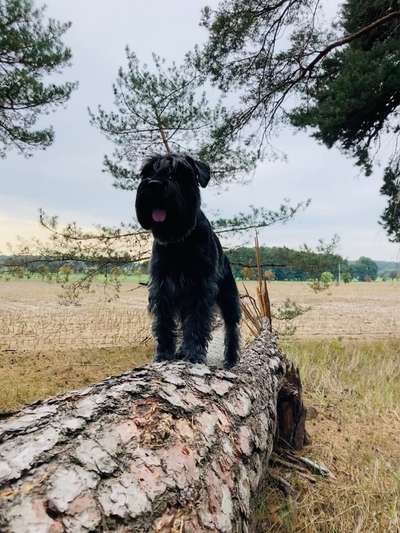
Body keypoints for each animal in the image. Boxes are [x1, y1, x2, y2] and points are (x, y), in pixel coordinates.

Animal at [134, 151, 241, 366]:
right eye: (148, 171)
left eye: (178, 172)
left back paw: (231, 359)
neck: (179, 241)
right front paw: (164, 354)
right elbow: (164, 323)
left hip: (229, 298)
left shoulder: (201, 287)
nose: (154, 184)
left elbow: (197, 322)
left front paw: (194, 354)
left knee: (231, 327)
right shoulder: (162, 287)